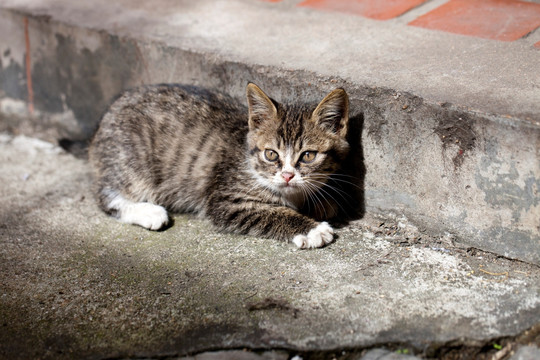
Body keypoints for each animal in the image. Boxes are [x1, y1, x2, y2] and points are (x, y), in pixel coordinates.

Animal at [88, 83, 350, 249]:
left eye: (307, 156)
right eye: (270, 154)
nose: (287, 176)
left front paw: (320, 202)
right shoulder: (226, 200)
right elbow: (272, 212)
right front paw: (312, 229)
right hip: (131, 161)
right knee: (107, 197)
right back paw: (149, 212)